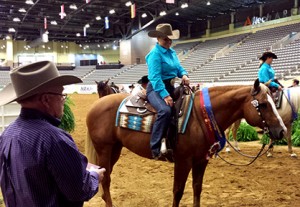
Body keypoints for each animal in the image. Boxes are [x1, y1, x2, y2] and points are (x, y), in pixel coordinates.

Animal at [85, 79, 286, 207]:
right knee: (106, 179)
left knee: (105, 176)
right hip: (104, 149)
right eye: (263, 104)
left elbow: (197, 189)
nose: (282, 130)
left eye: (272, 101)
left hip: (115, 149)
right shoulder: (183, 161)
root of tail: (96, 106)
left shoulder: (201, 161)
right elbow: (178, 191)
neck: (200, 117)